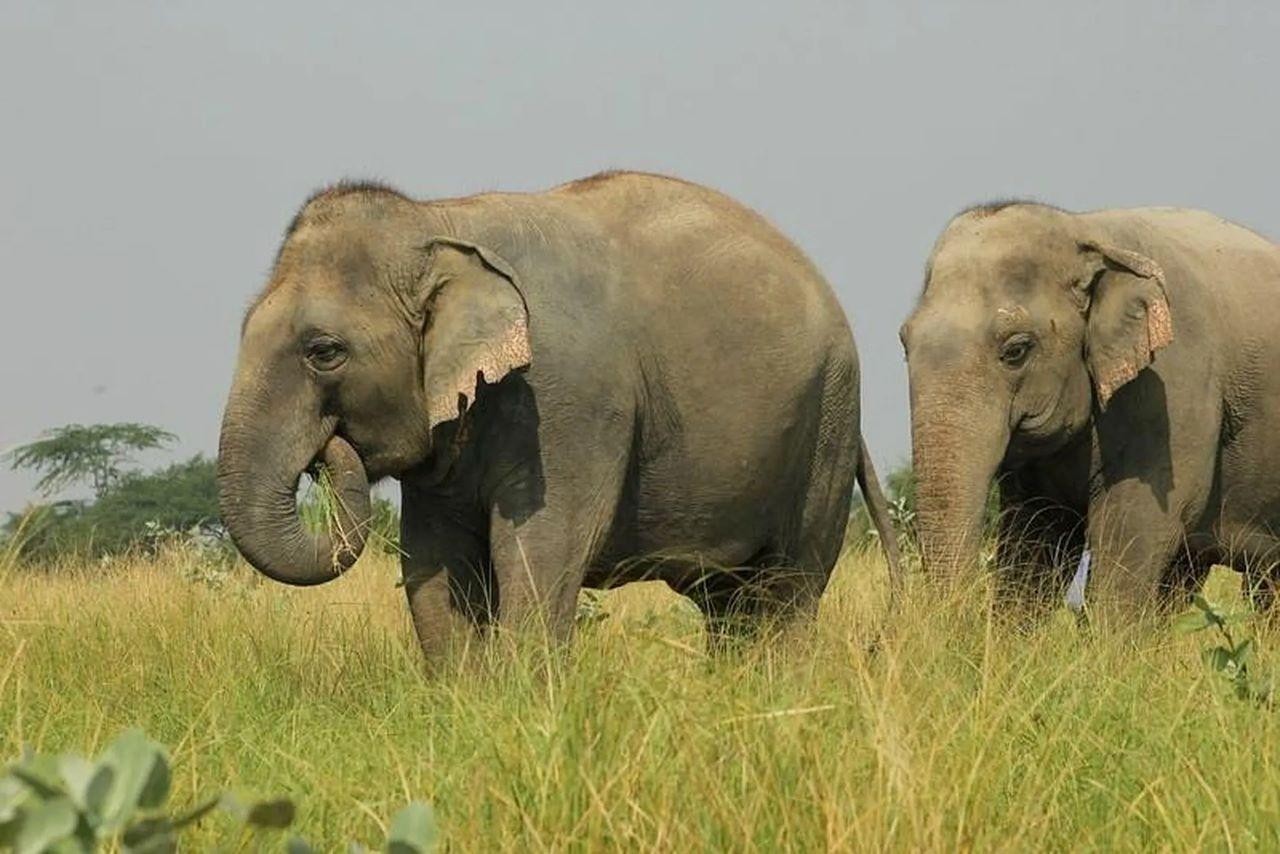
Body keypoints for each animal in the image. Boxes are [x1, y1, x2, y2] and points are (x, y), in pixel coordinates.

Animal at [217, 170, 901, 658]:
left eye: (324, 352)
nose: (328, 450)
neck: (441, 220)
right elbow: (435, 569)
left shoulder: (567, 402)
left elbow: (539, 553)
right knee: (729, 605)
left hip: (828, 418)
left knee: (787, 592)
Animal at [901, 200, 1280, 615]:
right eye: (904, 342)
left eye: (1016, 350)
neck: (1087, 232)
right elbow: (1034, 540)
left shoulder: (1173, 387)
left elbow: (1134, 530)